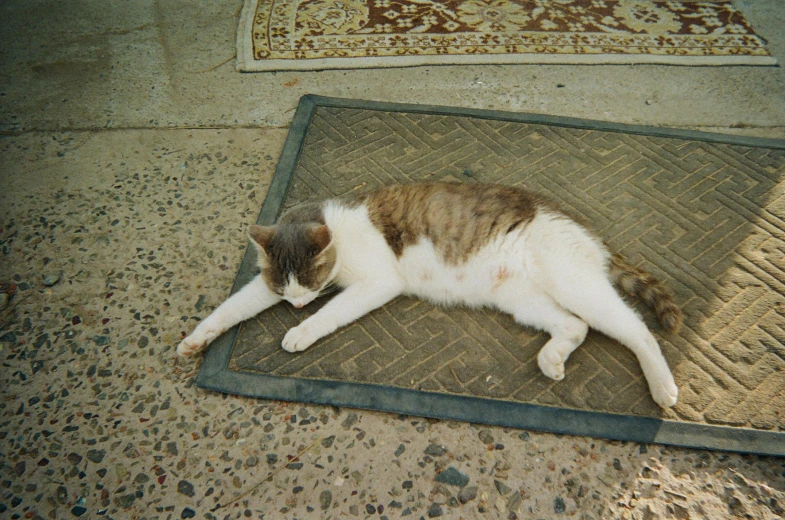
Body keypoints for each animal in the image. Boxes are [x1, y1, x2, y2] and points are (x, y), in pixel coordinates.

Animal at [179, 184, 680, 410]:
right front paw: (195, 340)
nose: (297, 306)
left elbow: (334, 312)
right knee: (574, 326)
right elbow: (233, 307)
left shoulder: (378, 283)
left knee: (636, 330)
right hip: (520, 299)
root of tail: (586, 232)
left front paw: (302, 331)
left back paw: (662, 387)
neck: (338, 228)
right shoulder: (263, 286)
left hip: (573, 282)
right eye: (285, 289)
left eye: (311, 285)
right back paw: (552, 359)